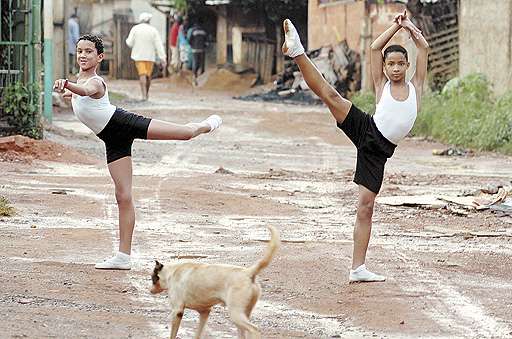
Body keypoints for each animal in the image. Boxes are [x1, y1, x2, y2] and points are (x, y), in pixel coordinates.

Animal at [150, 226, 280, 339]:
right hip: (243, 315)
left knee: (254, 329)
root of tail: (248, 273)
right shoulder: (204, 312)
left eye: (152, 278)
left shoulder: (177, 311)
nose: (150, 290)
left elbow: (173, 334)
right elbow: (198, 333)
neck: (171, 273)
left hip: (236, 314)